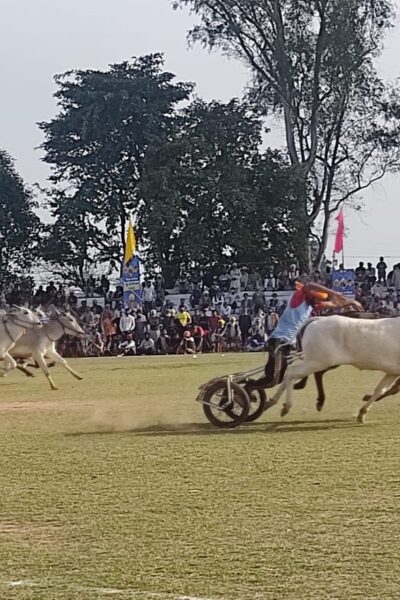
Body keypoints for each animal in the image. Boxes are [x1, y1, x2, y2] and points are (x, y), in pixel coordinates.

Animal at [269, 315, 400, 423]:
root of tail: (319, 319)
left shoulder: (392, 372)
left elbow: (380, 390)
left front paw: (362, 413)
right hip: (317, 362)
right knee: (293, 373)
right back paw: (286, 406)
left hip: (314, 361)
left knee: (290, 373)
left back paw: (272, 401)